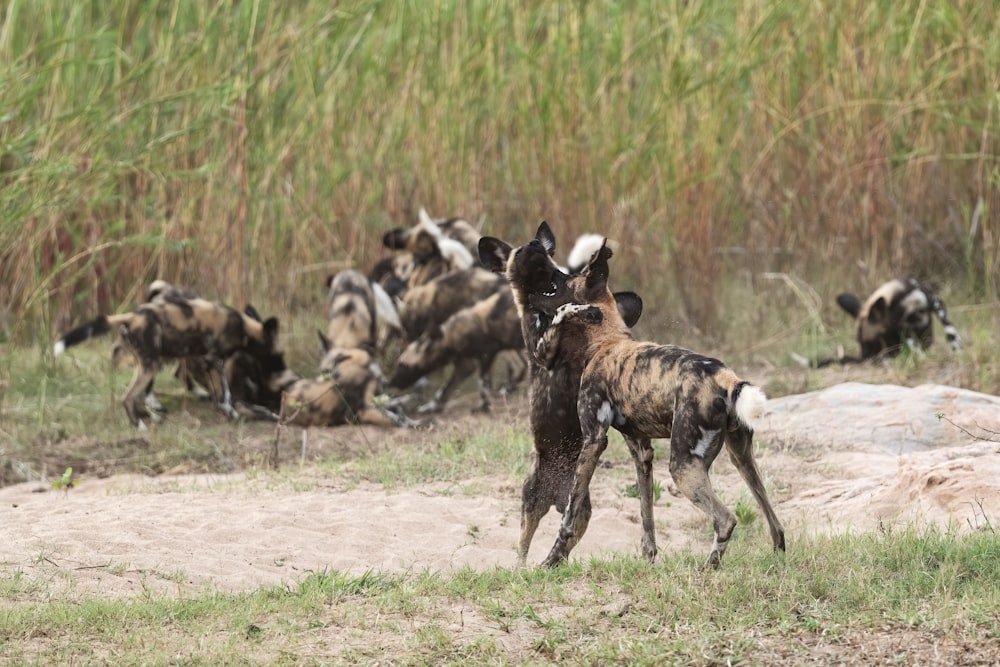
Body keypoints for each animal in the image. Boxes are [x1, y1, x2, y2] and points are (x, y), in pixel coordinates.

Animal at [54, 294, 284, 430]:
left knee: (138, 396)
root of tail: (133, 316)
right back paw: (140, 426)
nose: (282, 371)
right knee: (128, 397)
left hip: (145, 365)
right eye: (278, 355)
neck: (244, 329)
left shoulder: (208, 361)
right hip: (151, 365)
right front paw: (232, 413)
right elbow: (225, 394)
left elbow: (221, 394)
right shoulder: (214, 361)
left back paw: (152, 418)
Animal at [390, 288, 528, 412]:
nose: (391, 383)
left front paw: (484, 406)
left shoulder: (488, 353)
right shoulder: (464, 366)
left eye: (403, 365)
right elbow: (445, 390)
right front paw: (432, 407)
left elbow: (482, 383)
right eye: (399, 363)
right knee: (521, 366)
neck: (451, 337)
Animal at [478, 222, 648, 568]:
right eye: (519, 251)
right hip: (531, 502)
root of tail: (557, 494)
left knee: (566, 536)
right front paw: (572, 310)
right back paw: (522, 568)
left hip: (581, 510)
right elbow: (562, 315)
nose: (534, 245)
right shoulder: (541, 351)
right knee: (523, 546)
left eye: (542, 250)